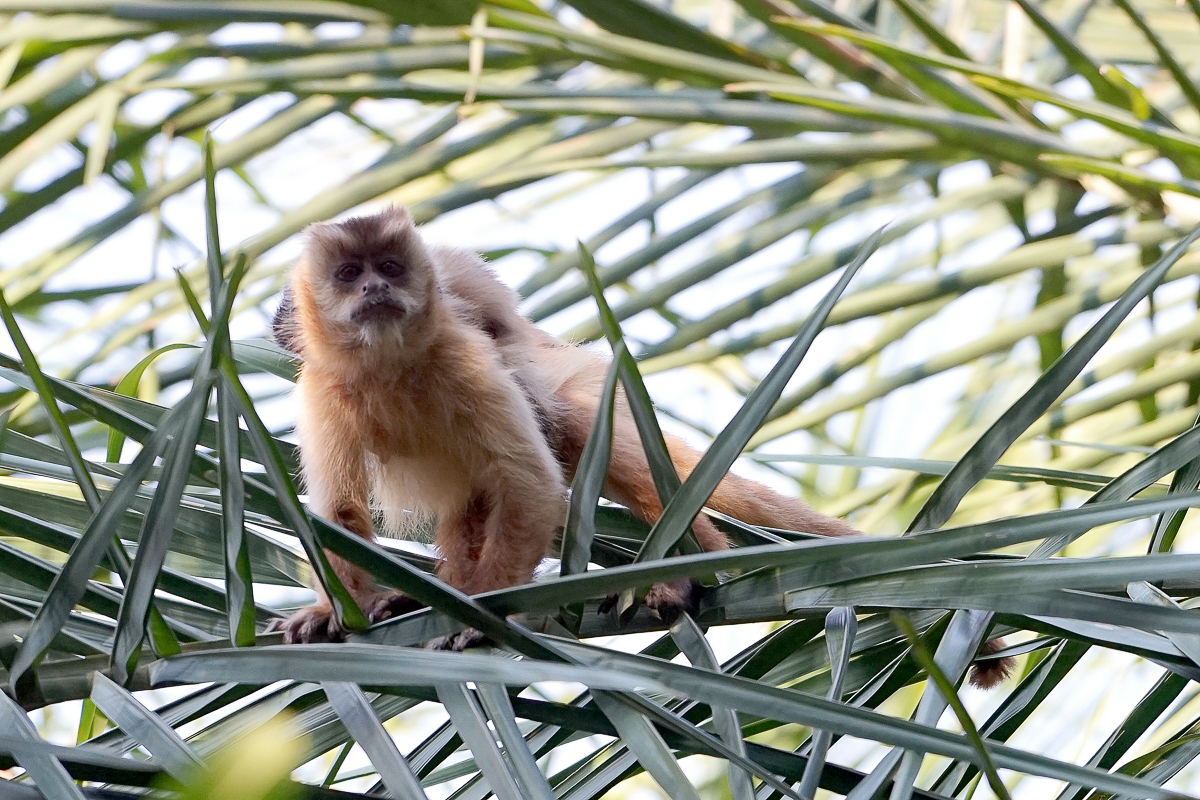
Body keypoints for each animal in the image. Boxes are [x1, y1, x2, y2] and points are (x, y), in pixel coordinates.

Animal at [269, 207, 1014, 686]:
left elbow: (532, 480)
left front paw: (483, 616)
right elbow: (340, 514)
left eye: (391, 267)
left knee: (565, 423)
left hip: (567, 371)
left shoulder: (465, 357)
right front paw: (336, 610)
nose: (375, 287)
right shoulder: (323, 388)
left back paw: (694, 566)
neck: (391, 368)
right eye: (350, 274)